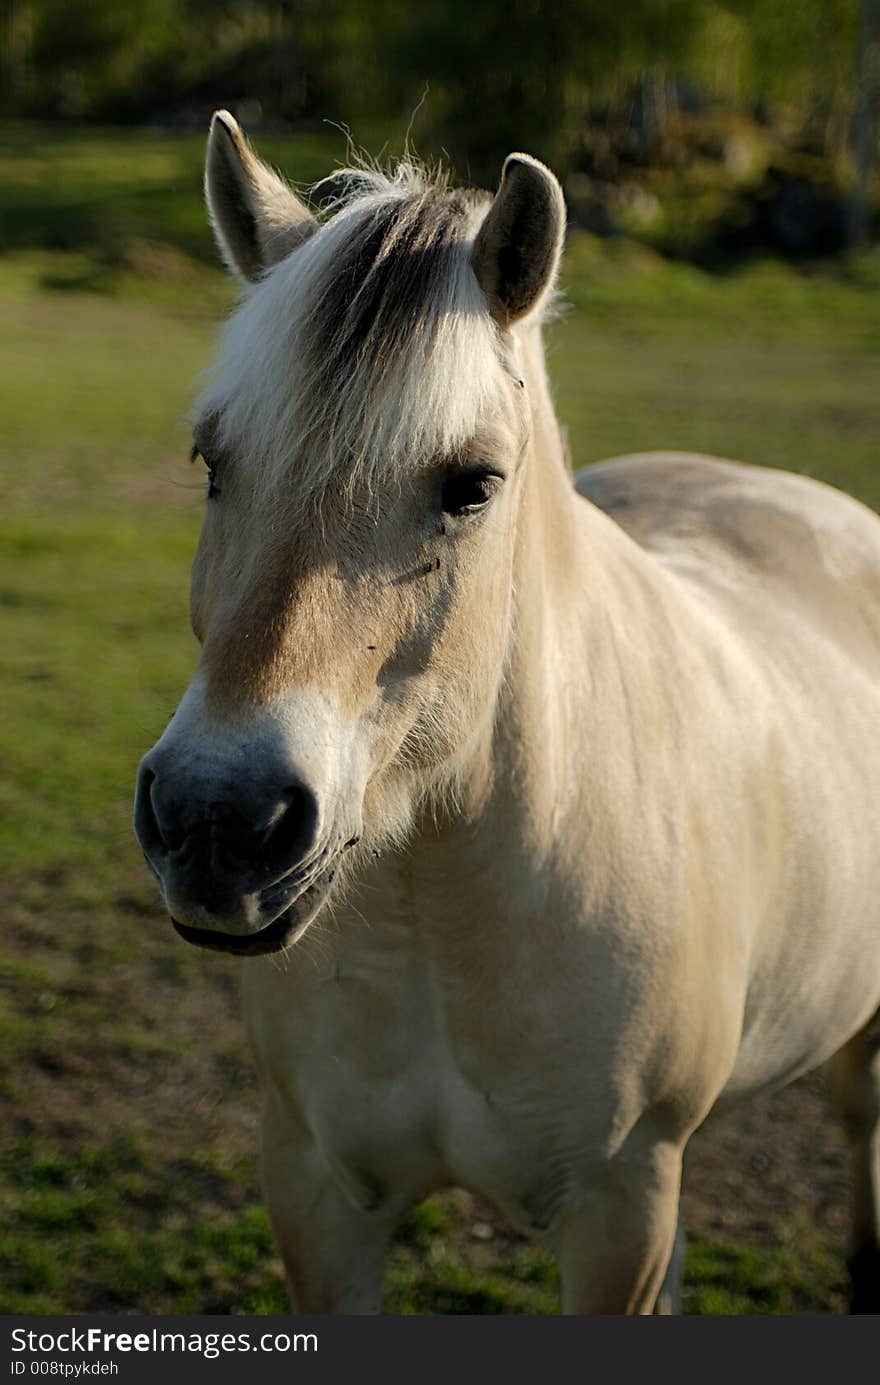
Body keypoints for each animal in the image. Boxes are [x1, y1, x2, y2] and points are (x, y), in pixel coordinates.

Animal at [132, 113, 880, 1312]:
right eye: (212, 458)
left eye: (472, 484)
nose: (219, 819)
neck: (436, 917)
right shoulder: (315, 1188)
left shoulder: (618, 1211)